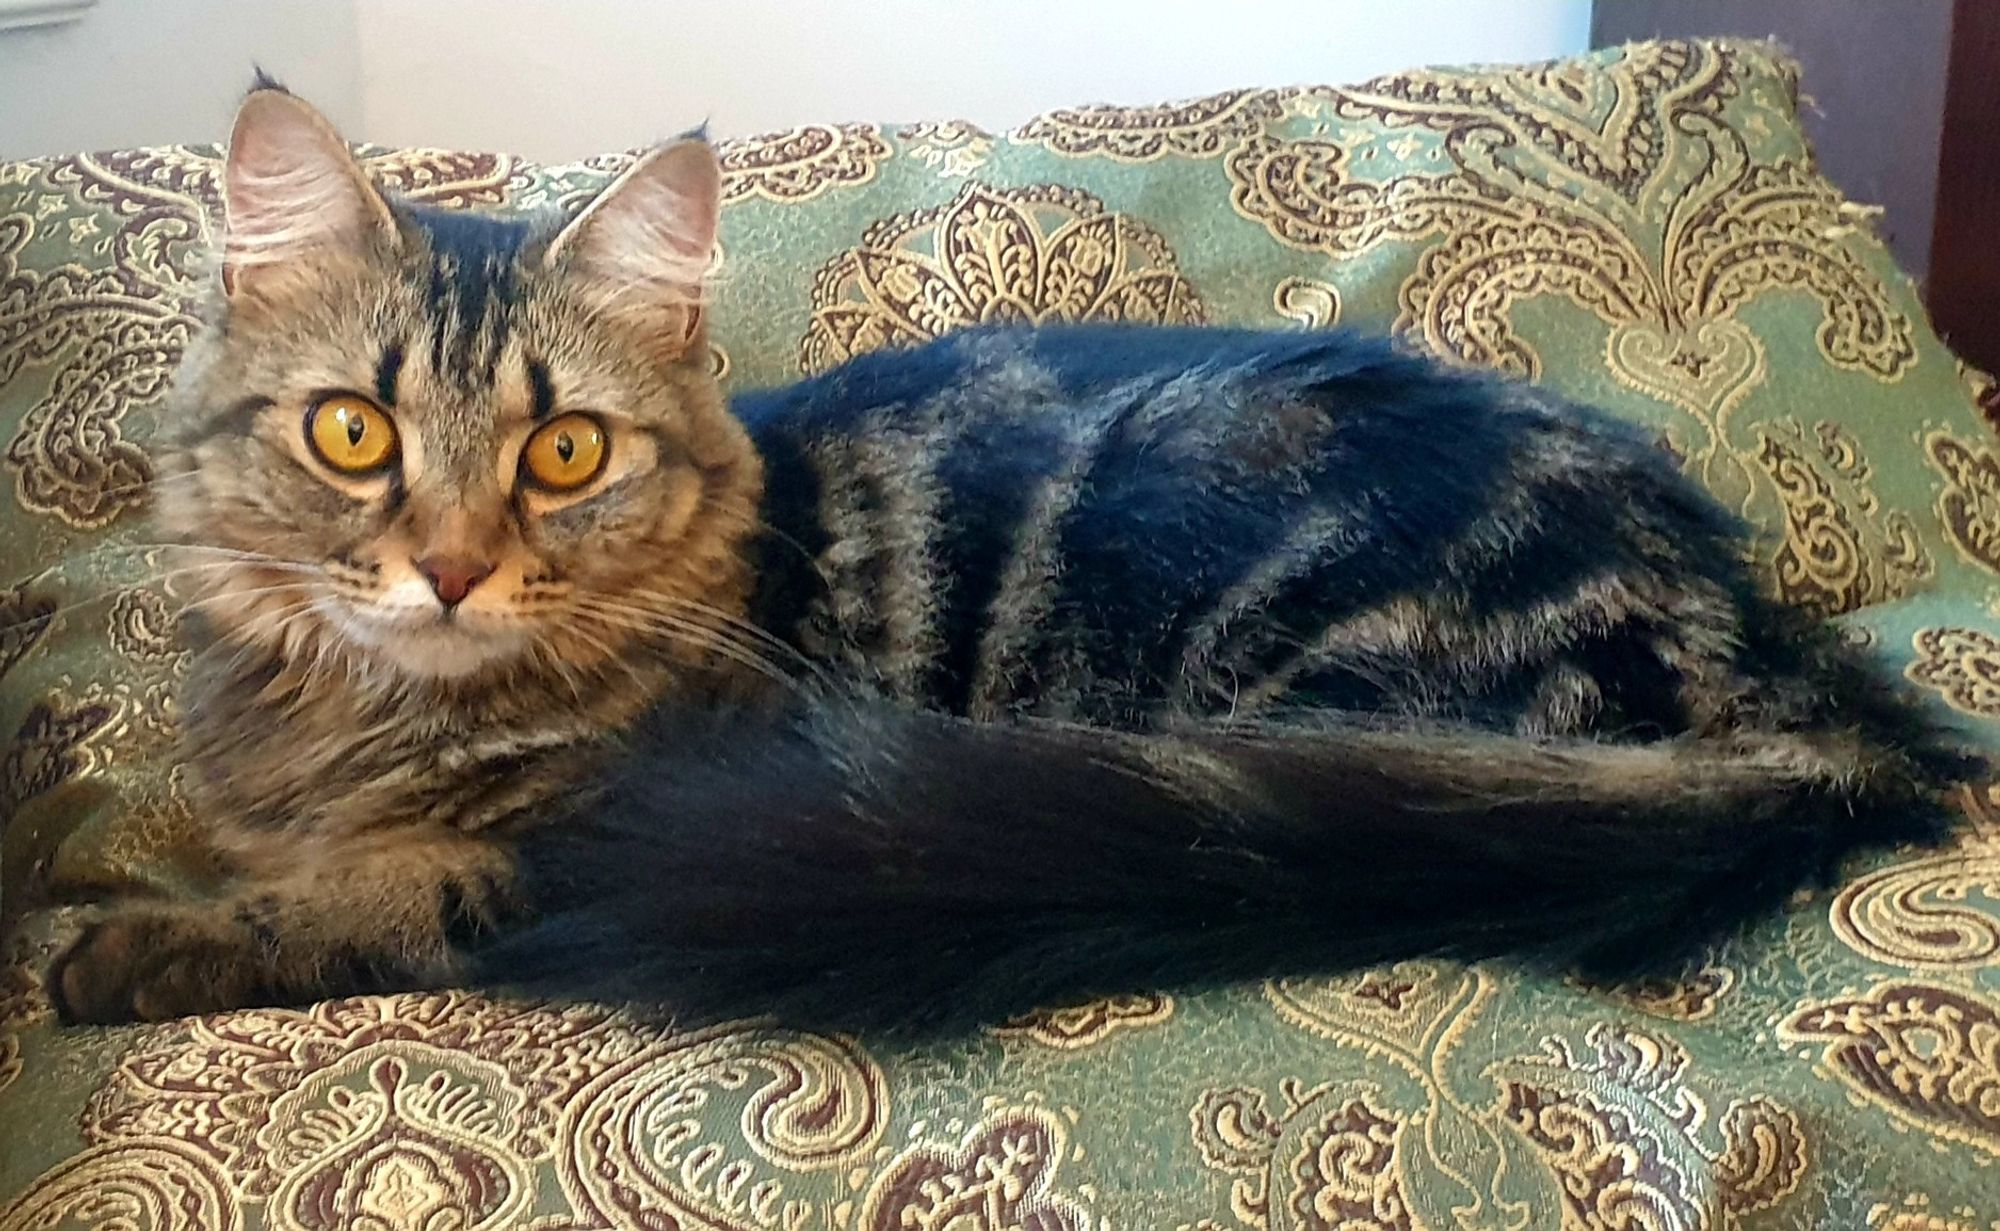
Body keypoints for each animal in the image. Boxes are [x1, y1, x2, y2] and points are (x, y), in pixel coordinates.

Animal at [39, 81, 1960, 1031]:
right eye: (354, 436)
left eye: (563, 452)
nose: (446, 571)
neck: (358, 721)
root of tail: (1770, 655)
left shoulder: (605, 823)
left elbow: (373, 891)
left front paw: (141, 944)